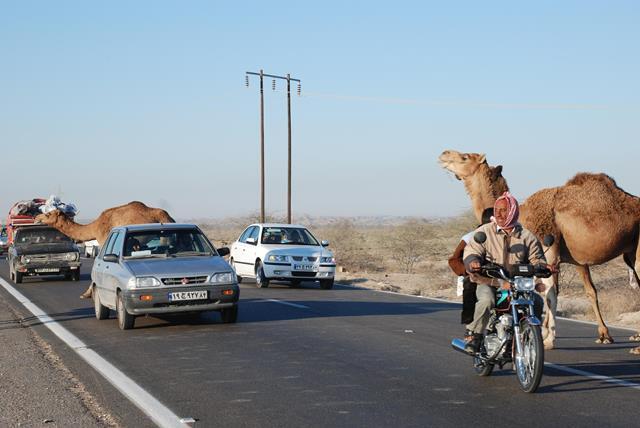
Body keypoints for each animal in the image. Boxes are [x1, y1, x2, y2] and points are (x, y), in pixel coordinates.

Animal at [35, 201, 175, 298]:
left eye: (48, 214)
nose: (37, 218)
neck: (94, 227)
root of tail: (166, 217)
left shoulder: (104, 241)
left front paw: (87, 294)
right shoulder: (134, 244)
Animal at [438, 150, 640, 354]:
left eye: (464, 157)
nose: (443, 155)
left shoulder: (548, 251)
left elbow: (550, 294)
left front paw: (548, 339)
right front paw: (544, 332)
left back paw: (636, 347)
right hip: (629, 252)